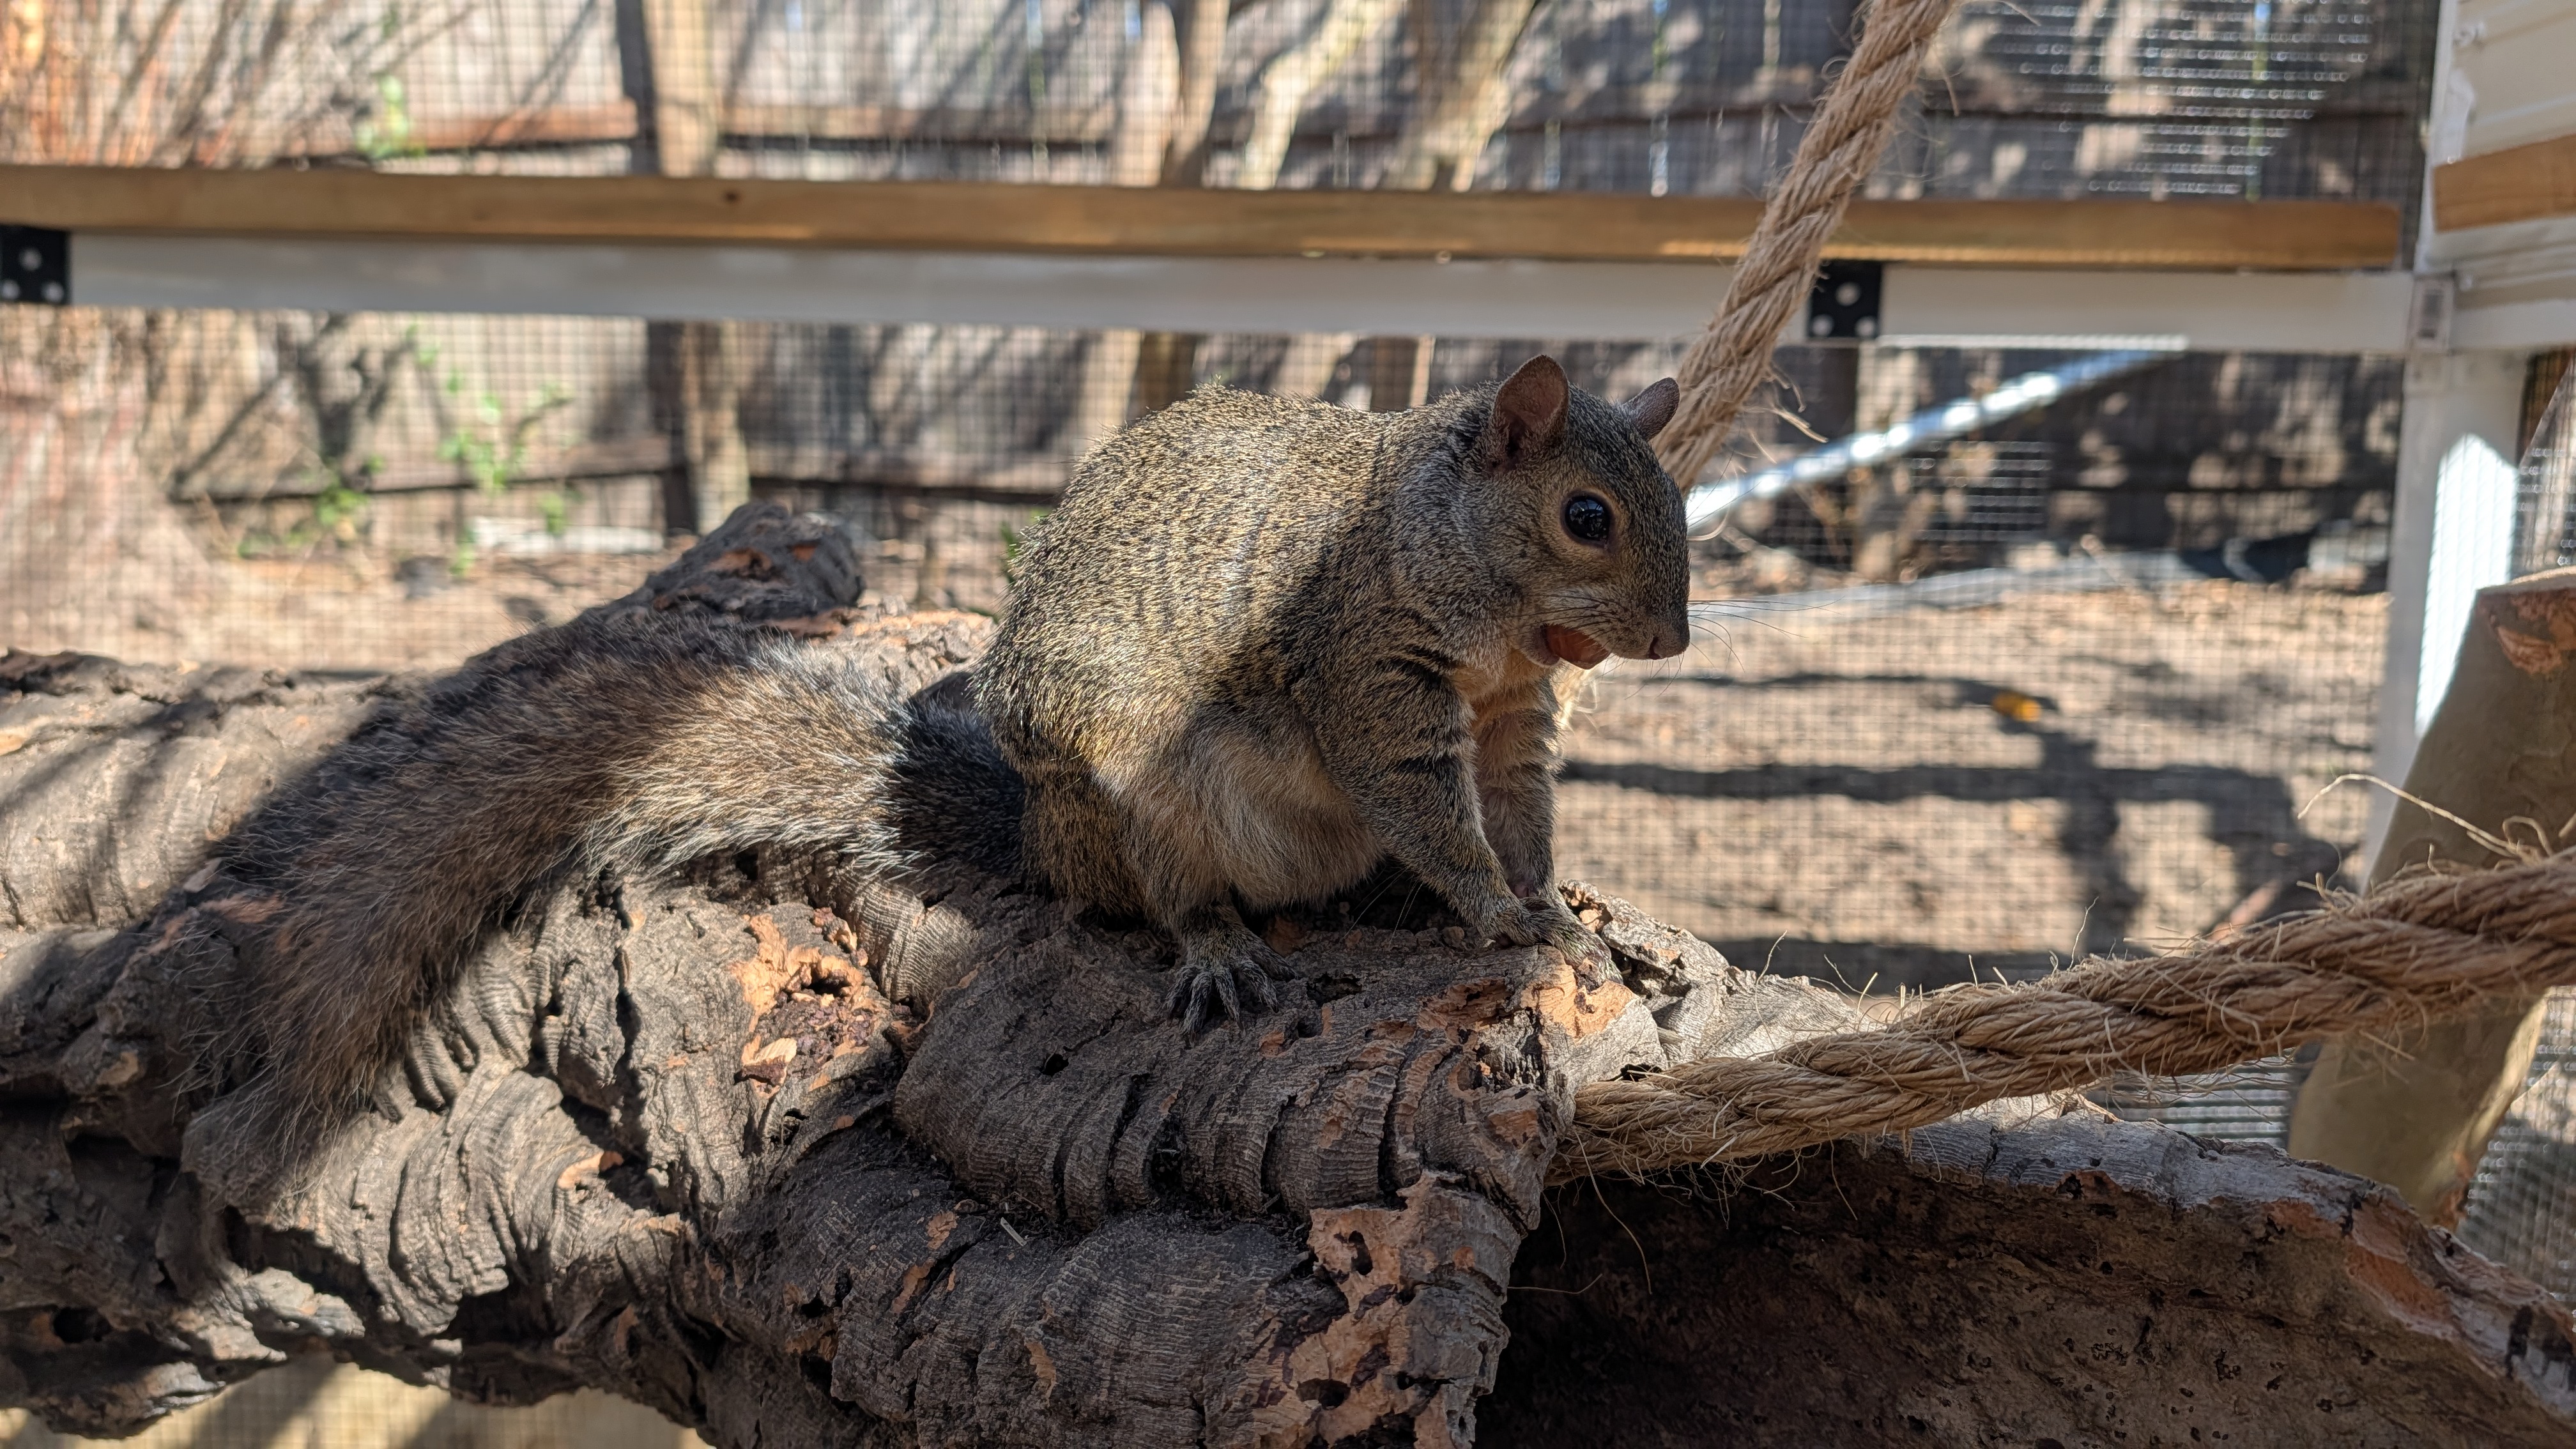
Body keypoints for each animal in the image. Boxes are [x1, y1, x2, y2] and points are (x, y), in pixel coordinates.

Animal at [217, 353, 1691, 1144]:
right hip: (1141, 789)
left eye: (1673, 499)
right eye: (1586, 514)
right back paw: (1216, 947)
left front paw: (1554, 907)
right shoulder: (1366, 670)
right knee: (1164, 895)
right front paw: (1500, 912)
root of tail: (1038, 837)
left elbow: (1519, 805)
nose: (1674, 640)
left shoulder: (1510, 717)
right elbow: (1424, 800)